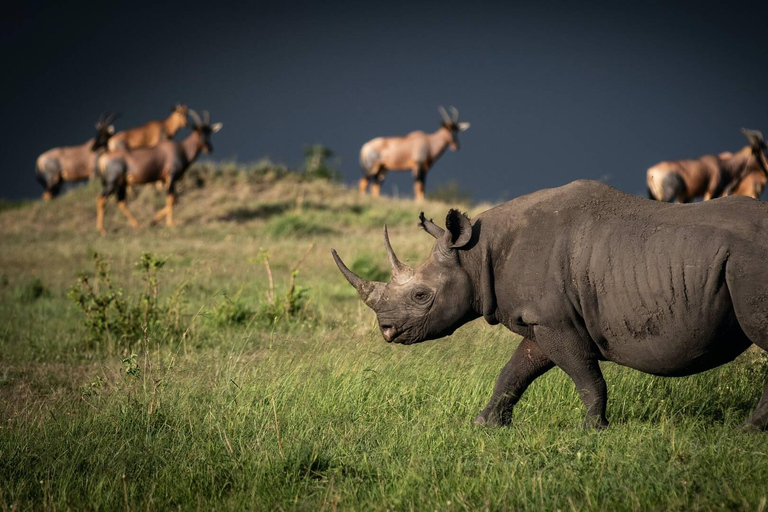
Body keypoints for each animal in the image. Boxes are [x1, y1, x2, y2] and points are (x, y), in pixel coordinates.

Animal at [332, 179, 768, 428]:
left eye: (421, 296)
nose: (386, 331)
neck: (475, 253)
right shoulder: (543, 319)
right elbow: (515, 371)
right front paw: (485, 425)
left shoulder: (555, 322)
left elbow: (586, 377)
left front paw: (593, 430)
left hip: (749, 263)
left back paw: (745, 430)